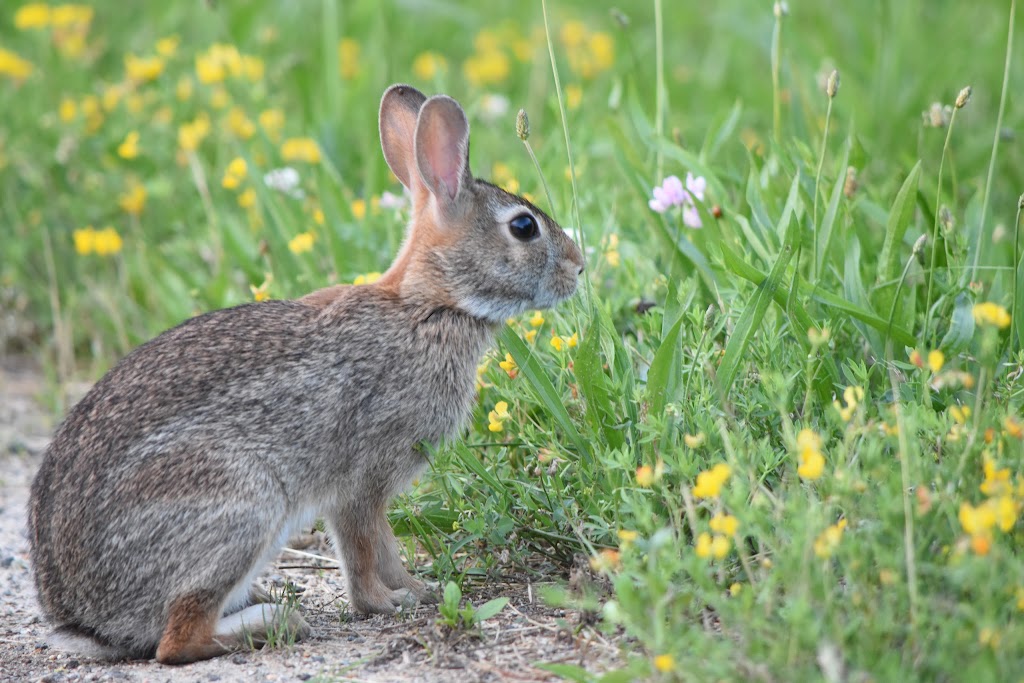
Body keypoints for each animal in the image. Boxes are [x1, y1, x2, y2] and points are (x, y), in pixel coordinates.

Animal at [28, 82, 585, 663]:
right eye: (524, 227)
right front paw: (385, 604)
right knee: (178, 639)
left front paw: (419, 590)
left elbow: (384, 548)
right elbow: (363, 550)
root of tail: (86, 619)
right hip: (242, 502)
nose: (579, 265)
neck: (431, 305)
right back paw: (276, 621)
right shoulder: (362, 478)